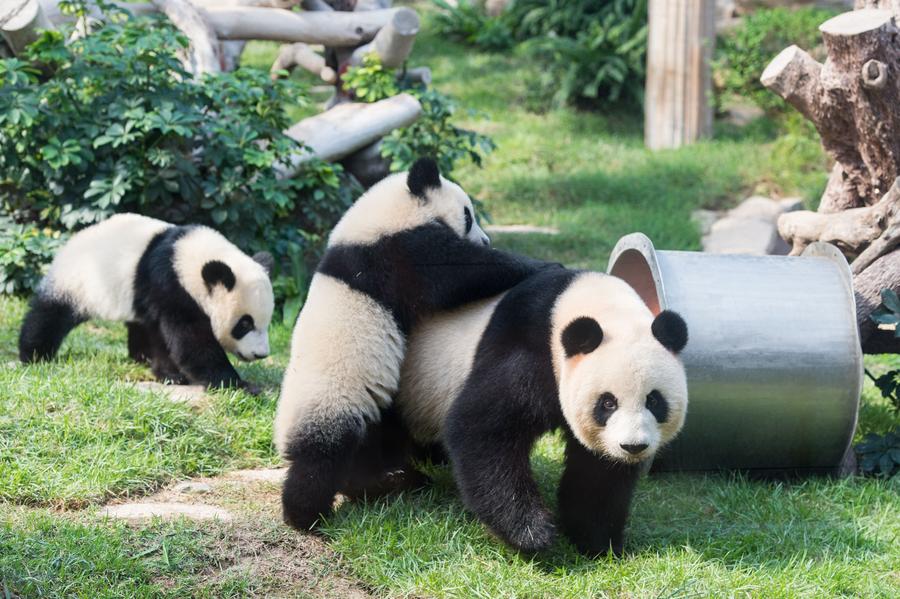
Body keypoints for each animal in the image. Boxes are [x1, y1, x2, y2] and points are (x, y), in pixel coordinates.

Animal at [18, 213, 274, 391]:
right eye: (245, 324)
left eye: (266, 323)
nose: (261, 354)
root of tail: (74, 239)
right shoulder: (169, 283)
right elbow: (191, 340)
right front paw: (237, 384)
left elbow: (163, 337)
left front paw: (170, 374)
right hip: (78, 281)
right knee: (49, 314)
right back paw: (34, 355)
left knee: (141, 325)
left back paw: (140, 356)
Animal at [274, 157, 547, 530]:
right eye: (468, 215)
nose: (487, 239)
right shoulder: (396, 250)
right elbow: (456, 271)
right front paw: (539, 265)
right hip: (332, 399)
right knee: (322, 455)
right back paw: (306, 513)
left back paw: (398, 480)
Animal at [390, 267, 689, 555]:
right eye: (608, 403)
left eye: (654, 401)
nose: (633, 446)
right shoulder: (528, 348)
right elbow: (483, 428)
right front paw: (531, 532)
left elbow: (599, 472)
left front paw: (598, 542)